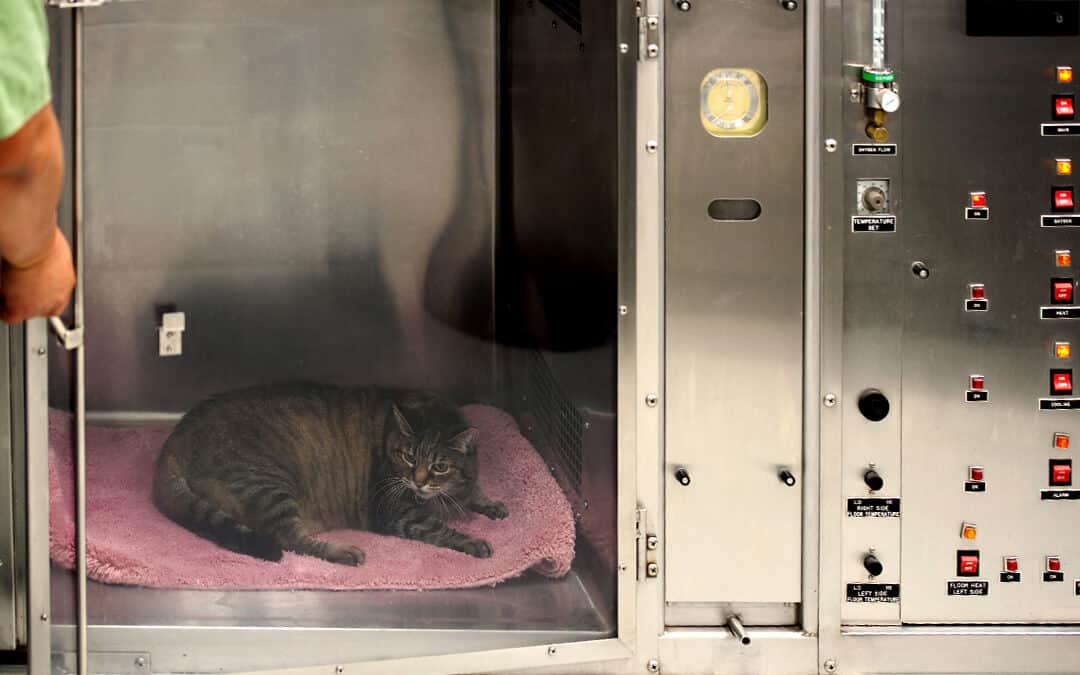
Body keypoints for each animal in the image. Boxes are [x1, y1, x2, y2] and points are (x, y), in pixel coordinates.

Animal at [150, 382, 507, 565]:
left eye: (439, 466)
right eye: (408, 457)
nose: (418, 481)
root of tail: (176, 436)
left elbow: (473, 490)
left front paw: (489, 502)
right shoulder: (396, 511)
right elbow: (440, 528)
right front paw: (474, 540)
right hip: (266, 485)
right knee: (290, 539)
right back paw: (344, 552)